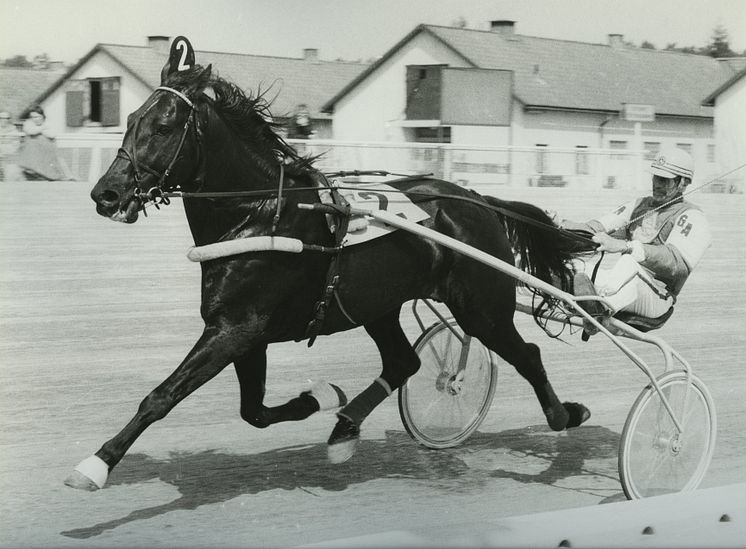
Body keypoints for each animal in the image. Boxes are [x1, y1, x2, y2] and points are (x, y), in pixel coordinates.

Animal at [67, 44, 588, 488]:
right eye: (130, 119)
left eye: (163, 127)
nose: (105, 194)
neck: (260, 214)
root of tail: (478, 199)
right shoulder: (245, 332)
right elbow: (253, 411)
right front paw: (320, 396)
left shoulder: (234, 328)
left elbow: (162, 395)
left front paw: (96, 464)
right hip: (377, 304)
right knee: (404, 360)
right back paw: (344, 427)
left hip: (481, 306)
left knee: (526, 354)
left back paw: (565, 415)